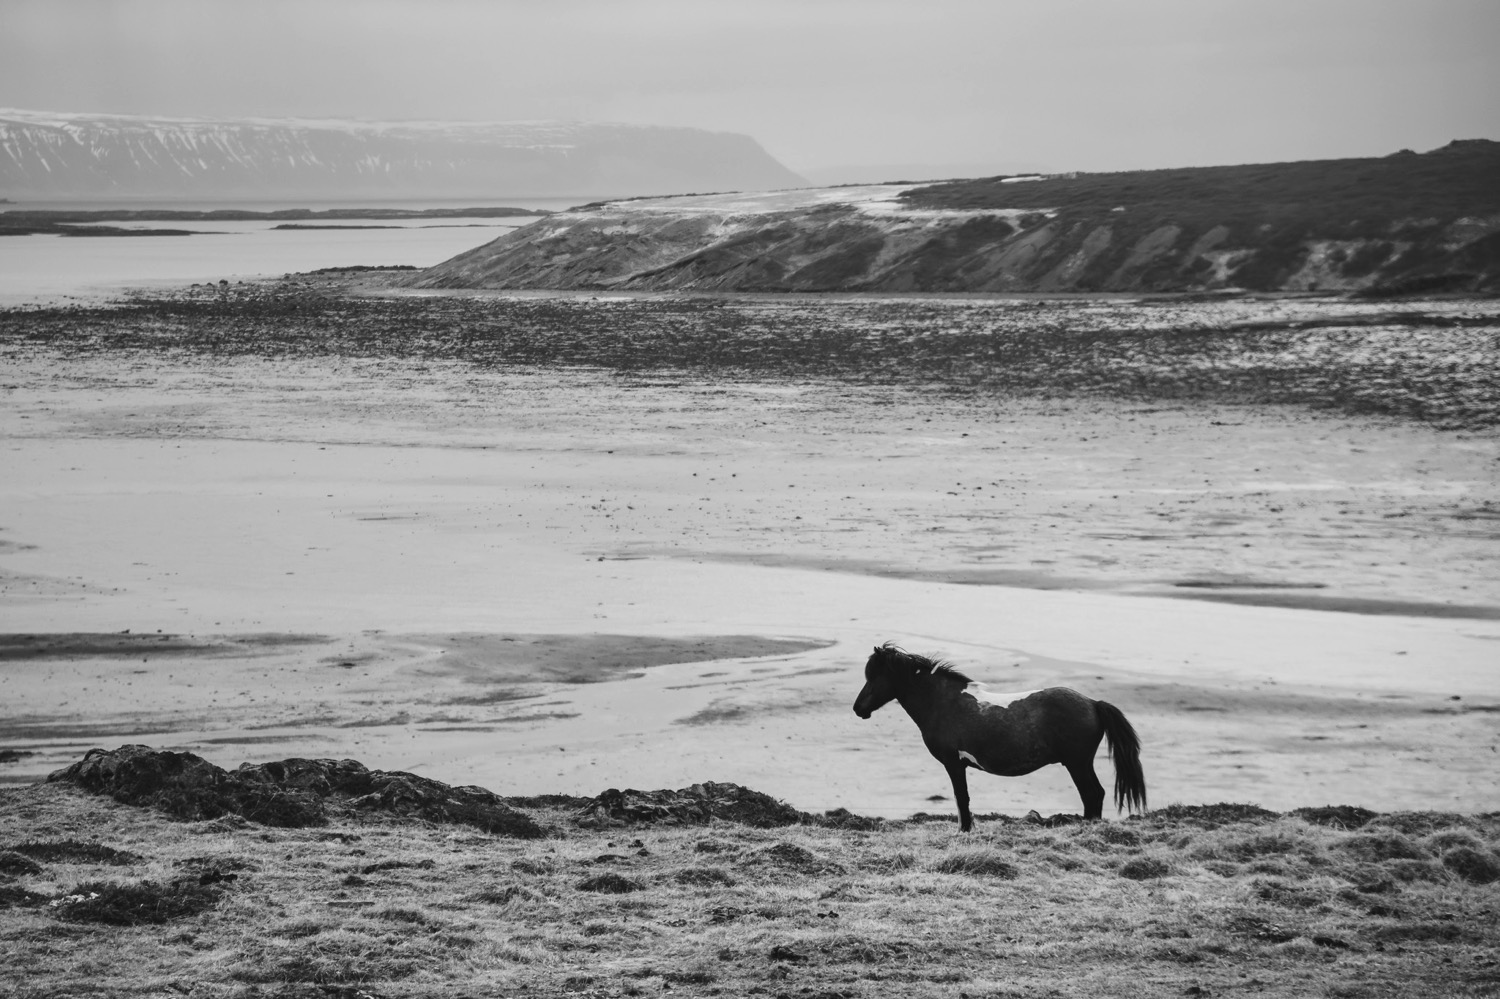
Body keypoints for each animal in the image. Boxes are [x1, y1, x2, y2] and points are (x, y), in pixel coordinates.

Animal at [858, 642, 1146, 828]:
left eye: (874, 676)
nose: (857, 708)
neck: (943, 702)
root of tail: (1093, 703)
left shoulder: (954, 763)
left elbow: (961, 799)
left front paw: (965, 831)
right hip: (1082, 763)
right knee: (1095, 795)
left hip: (1077, 763)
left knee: (1092, 794)